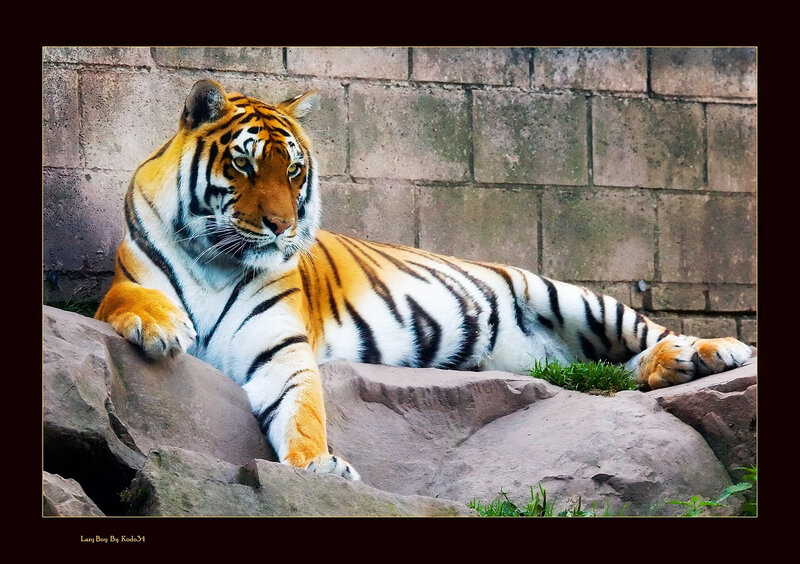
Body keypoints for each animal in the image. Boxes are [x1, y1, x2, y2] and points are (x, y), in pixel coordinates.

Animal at [95, 78, 753, 481]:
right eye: (243, 164)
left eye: (295, 170)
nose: (283, 227)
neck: (218, 255)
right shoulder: (123, 281)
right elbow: (131, 300)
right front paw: (164, 330)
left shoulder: (278, 346)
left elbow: (303, 410)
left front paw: (319, 468)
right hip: (550, 357)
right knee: (607, 370)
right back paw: (675, 367)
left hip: (566, 295)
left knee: (651, 332)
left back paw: (716, 352)